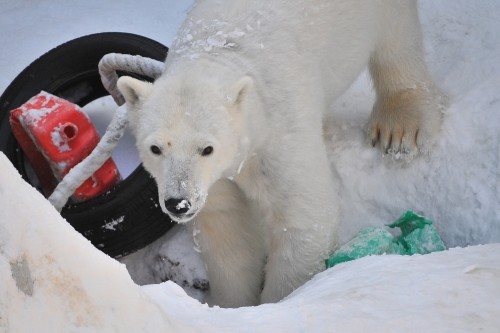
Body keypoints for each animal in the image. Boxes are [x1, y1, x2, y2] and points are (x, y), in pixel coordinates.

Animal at [118, 0, 446, 306]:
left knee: (396, 37)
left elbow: (304, 215)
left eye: (206, 148)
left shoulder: (278, 134)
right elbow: (228, 230)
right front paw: (233, 305)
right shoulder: (215, 181)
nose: (179, 203)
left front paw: (279, 302)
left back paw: (401, 126)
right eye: (156, 148)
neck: (219, 48)